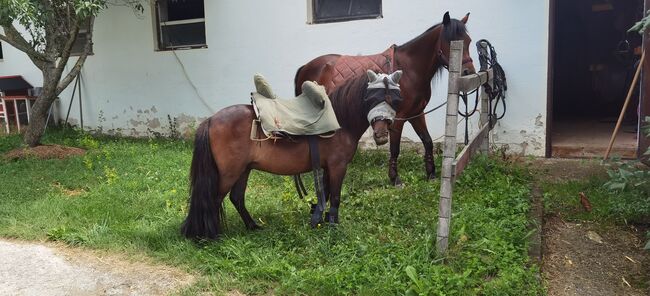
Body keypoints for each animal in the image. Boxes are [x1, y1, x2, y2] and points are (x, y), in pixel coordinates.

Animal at [182, 70, 402, 239]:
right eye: (372, 98)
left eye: (395, 101)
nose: (382, 135)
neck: (341, 122)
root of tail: (211, 119)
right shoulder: (338, 166)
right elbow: (335, 197)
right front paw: (333, 225)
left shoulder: (327, 167)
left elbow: (326, 194)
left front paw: (319, 220)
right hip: (230, 172)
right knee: (214, 198)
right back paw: (211, 235)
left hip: (243, 169)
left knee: (236, 198)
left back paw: (252, 226)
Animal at [296, 11, 474, 185]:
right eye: (451, 42)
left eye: (469, 41)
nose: (468, 72)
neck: (409, 70)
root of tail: (305, 67)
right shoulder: (398, 118)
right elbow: (395, 148)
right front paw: (395, 178)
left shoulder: (417, 114)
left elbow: (428, 141)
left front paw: (431, 173)